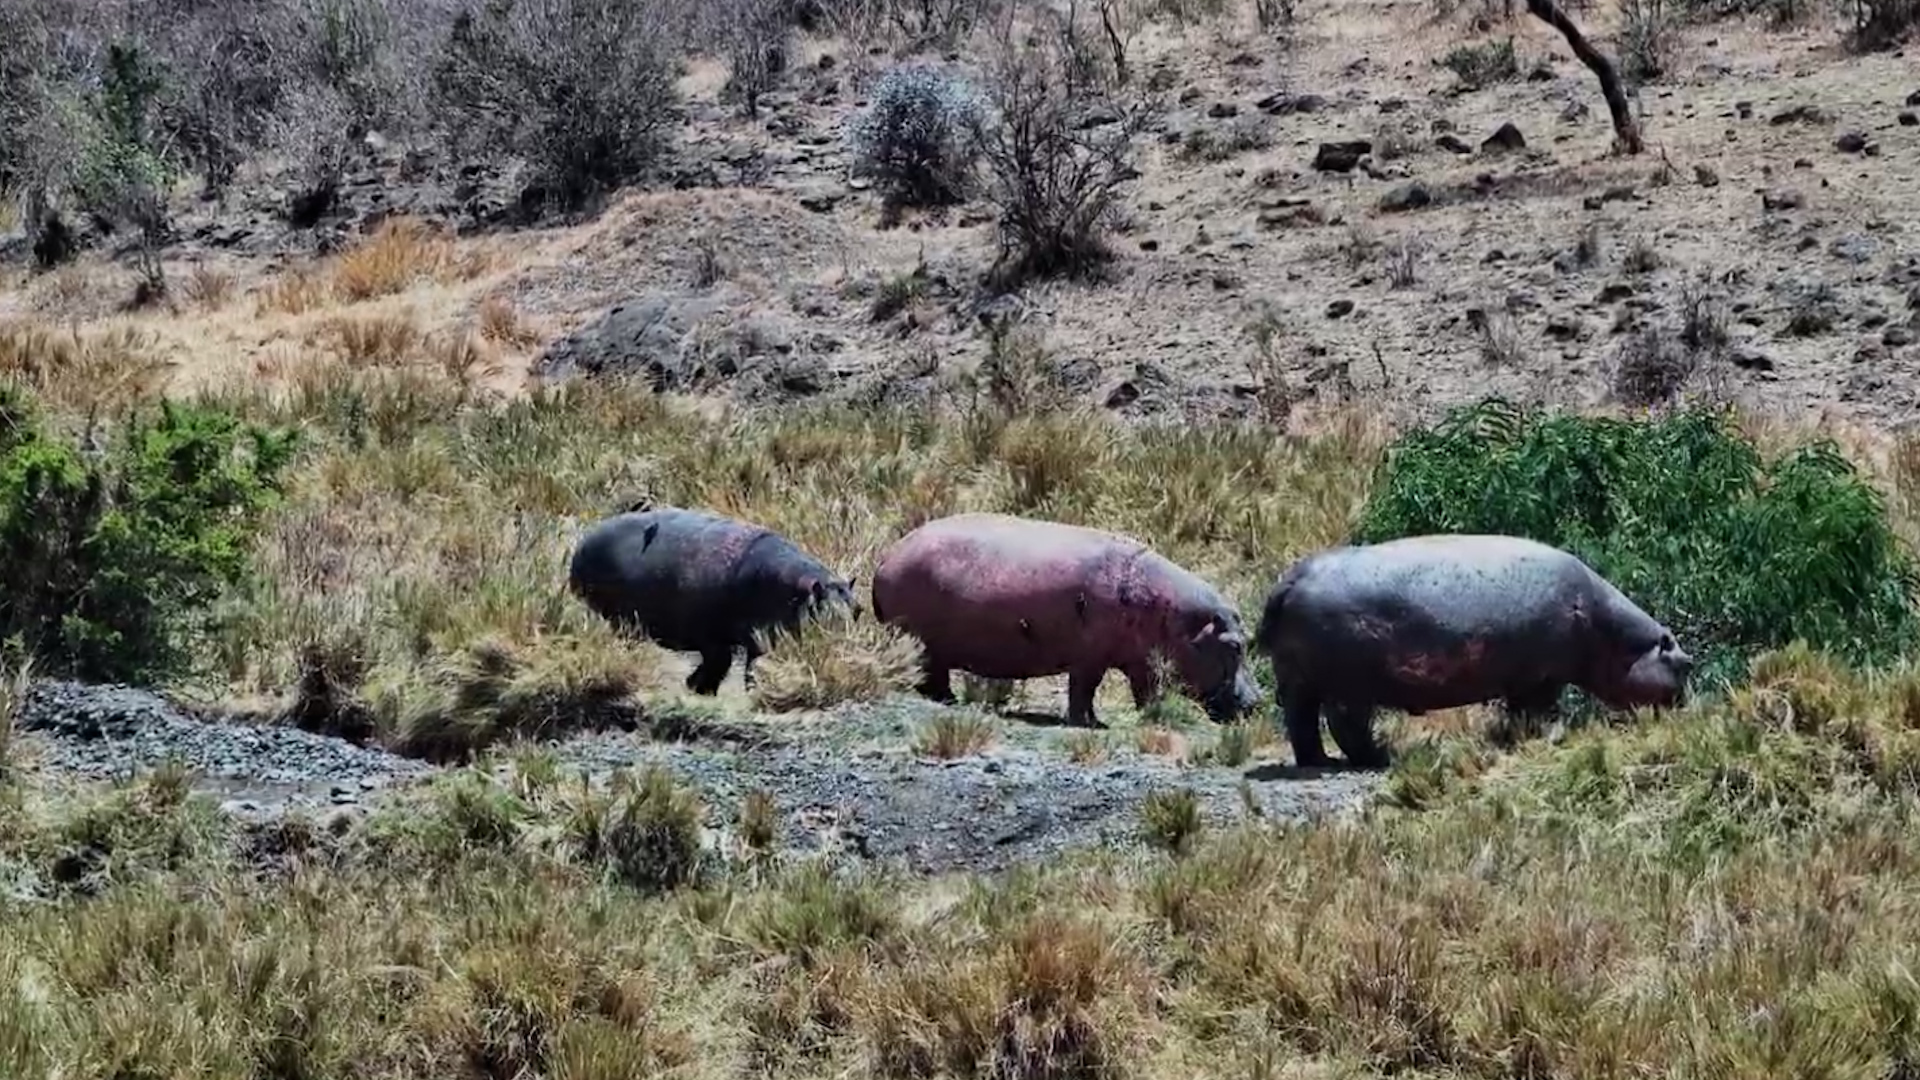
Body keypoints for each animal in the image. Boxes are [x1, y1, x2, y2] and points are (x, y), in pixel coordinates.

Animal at [567, 504, 858, 694]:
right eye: (822, 609)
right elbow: (723, 662)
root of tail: (582, 542)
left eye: (859, 610)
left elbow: (747, 663)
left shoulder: (758, 636)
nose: (844, 649)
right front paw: (699, 688)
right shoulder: (714, 634)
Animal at [870, 512, 1263, 727]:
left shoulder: (1140, 660)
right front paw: (1090, 724)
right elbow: (1084, 690)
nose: (1257, 702)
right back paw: (946, 701)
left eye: (1247, 641)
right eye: (1234, 646)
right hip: (919, 640)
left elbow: (1145, 692)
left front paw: (1150, 715)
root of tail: (887, 556)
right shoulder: (1091, 658)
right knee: (930, 672)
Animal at [1253, 533, 1693, 769]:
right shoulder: (1543, 677)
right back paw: (1380, 757)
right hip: (1349, 683)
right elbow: (1539, 711)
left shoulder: (1524, 679)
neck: (1613, 633)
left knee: (1302, 722)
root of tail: (1292, 578)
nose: (1688, 708)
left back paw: (1321, 761)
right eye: (1685, 663)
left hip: (1299, 678)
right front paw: (1549, 737)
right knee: (1345, 723)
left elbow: (1520, 714)